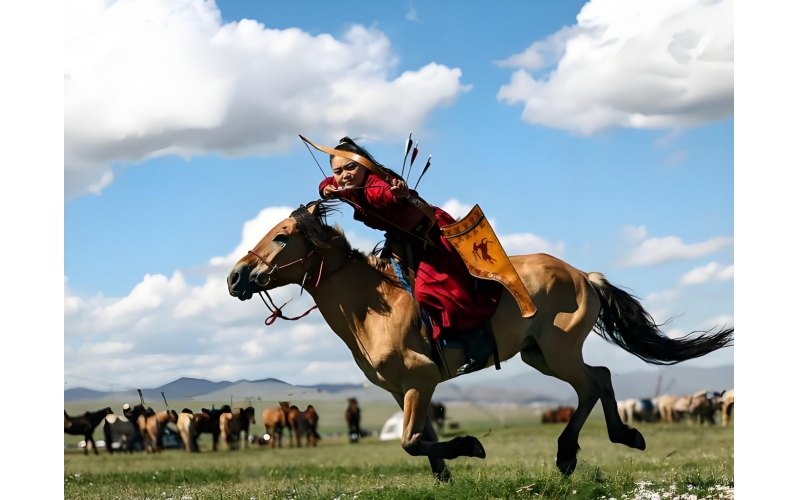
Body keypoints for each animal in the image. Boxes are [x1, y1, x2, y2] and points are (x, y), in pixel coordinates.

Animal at [226, 200, 734, 481]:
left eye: (282, 238)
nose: (235, 277)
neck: (373, 306)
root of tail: (583, 275)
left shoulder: (421, 379)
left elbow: (411, 442)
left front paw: (470, 446)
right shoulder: (404, 390)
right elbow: (422, 438)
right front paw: (446, 475)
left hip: (557, 351)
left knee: (596, 380)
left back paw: (601, 442)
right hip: (539, 355)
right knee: (597, 380)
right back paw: (581, 449)